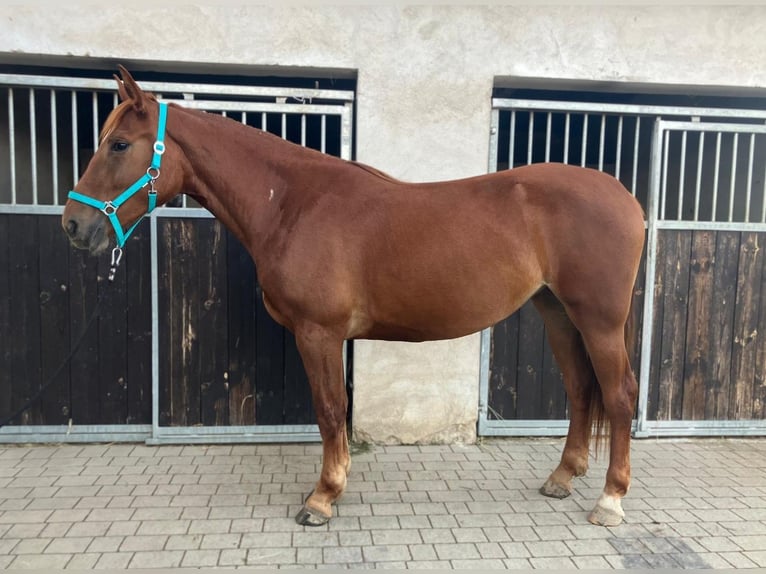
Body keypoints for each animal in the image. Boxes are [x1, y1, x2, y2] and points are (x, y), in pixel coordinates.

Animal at [62, 67, 645, 528]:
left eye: (118, 145)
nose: (73, 226)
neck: (291, 204)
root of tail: (625, 198)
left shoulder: (318, 333)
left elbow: (328, 409)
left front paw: (322, 498)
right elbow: (333, 410)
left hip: (598, 320)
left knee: (618, 396)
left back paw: (610, 501)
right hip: (558, 313)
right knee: (580, 390)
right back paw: (562, 478)